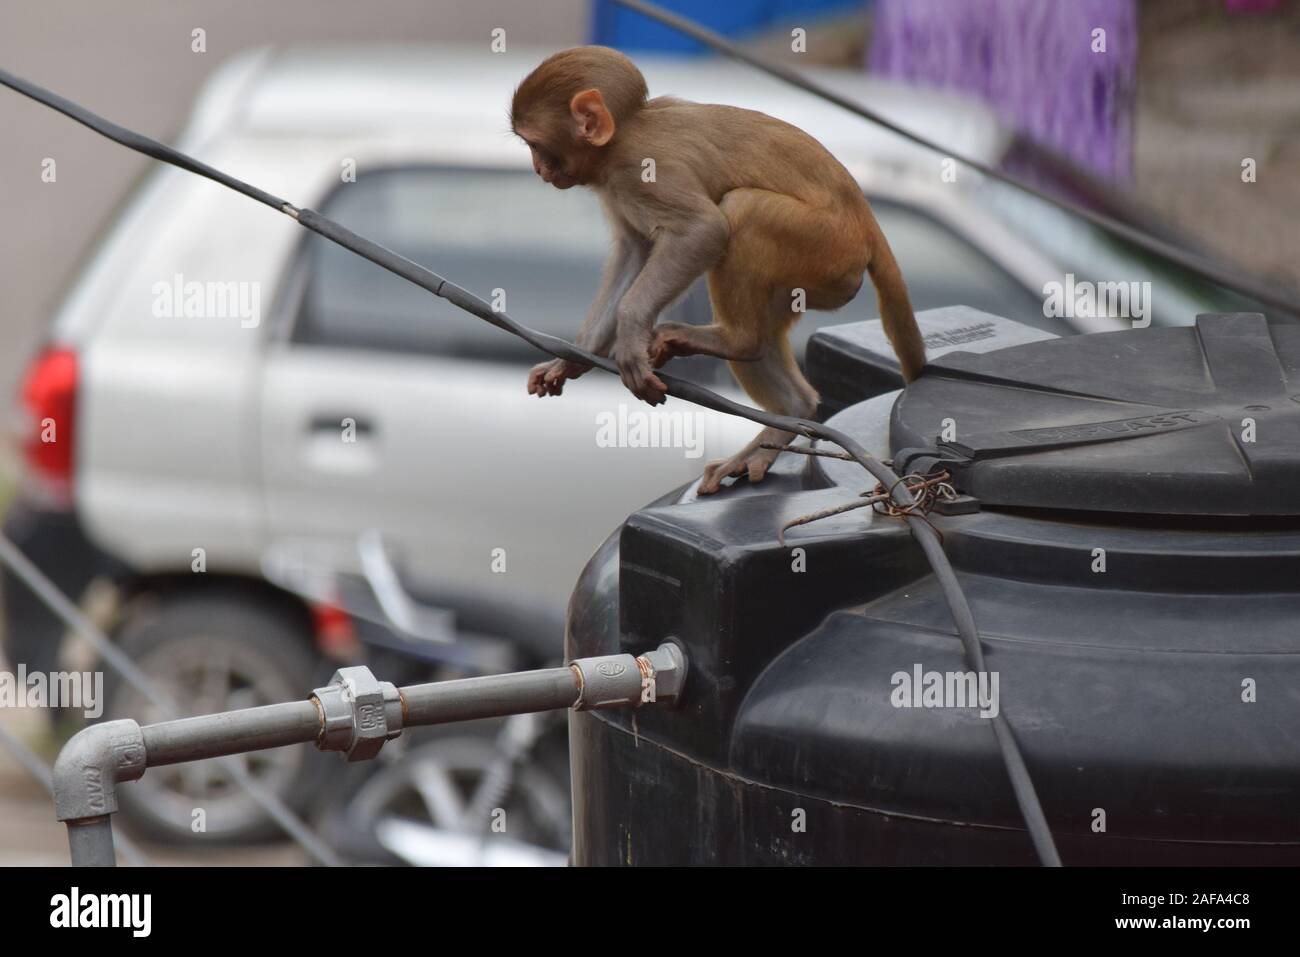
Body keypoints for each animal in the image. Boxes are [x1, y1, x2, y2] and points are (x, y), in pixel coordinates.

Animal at [509, 44, 925, 494]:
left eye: (535, 143)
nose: (538, 169)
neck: (624, 134)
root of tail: (867, 226)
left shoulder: (642, 168)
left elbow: (703, 231)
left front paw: (631, 334)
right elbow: (635, 251)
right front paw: (572, 359)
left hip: (826, 246)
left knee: (744, 211)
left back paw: (735, 340)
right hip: (816, 278)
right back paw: (787, 414)